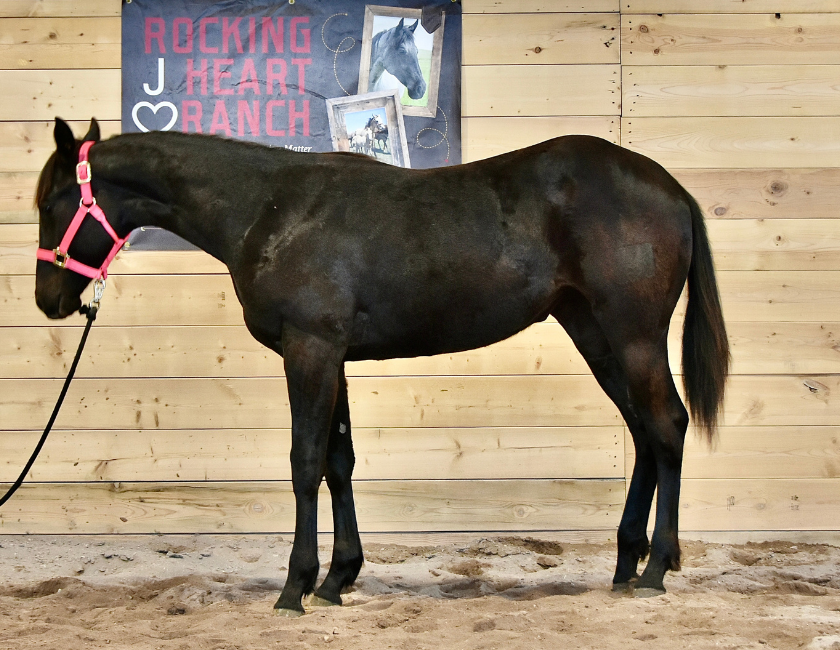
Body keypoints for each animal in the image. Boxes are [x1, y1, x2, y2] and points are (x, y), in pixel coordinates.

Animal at [35, 117, 729, 616]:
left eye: (52, 202)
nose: (49, 300)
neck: (268, 208)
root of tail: (671, 189)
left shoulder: (310, 348)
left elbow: (305, 461)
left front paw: (295, 587)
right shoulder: (330, 354)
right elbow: (337, 462)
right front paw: (337, 578)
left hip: (632, 335)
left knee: (666, 426)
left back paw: (656, 569)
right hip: (594, 334)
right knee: (644, 431)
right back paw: (625, 566)